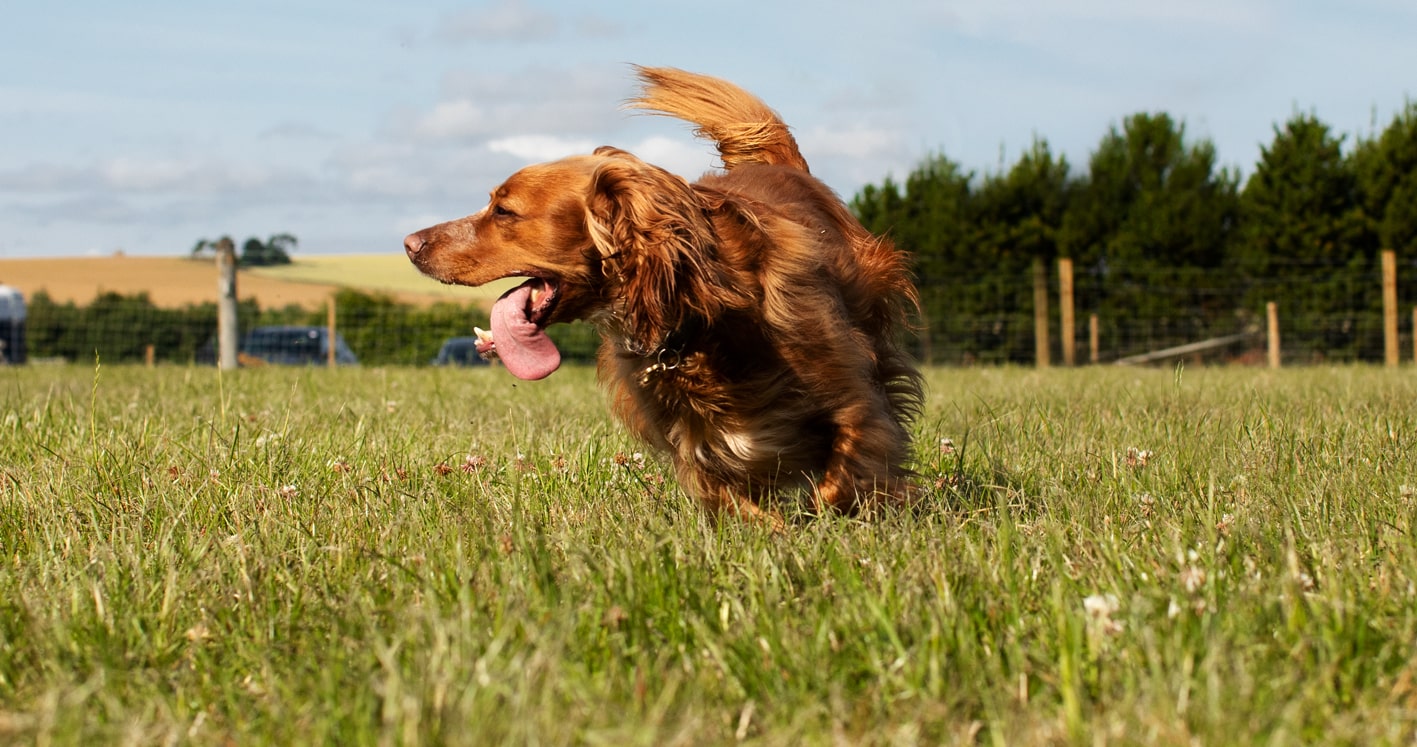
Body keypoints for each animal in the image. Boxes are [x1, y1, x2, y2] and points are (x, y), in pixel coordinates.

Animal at [405, 68, 923, 527]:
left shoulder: (855, 402)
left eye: (504, 211)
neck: (704, 314)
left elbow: (841, 478)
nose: (410, 244)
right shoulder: (694, 447)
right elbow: (740, 505)